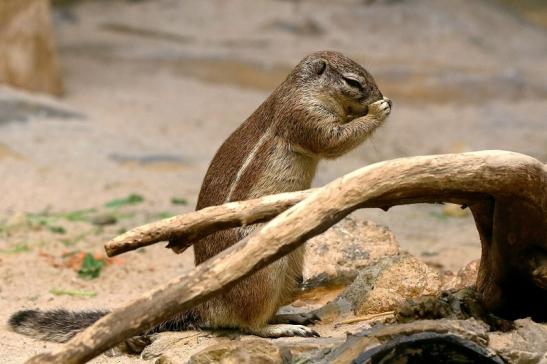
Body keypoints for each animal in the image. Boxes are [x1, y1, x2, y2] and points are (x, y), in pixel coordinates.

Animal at [9, 51, 394, 344]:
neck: (300, 89)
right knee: (248, 324)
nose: (380, 92)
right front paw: (379, 110)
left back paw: (295, 314)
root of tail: (204, 305)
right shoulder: (304, 116)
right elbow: (332, 140)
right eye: (353, 82)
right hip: (263, 269)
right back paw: (282, 328)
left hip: (292, 267)